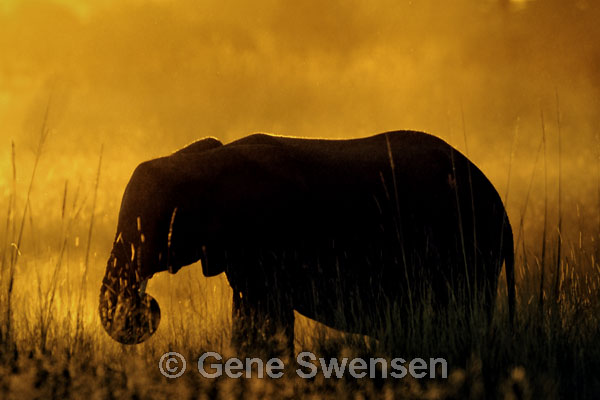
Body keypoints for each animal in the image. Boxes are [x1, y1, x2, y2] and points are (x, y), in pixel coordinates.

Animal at [98, 131, 516, 350]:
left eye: (149, 232)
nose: (146, 304)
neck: (201, 160)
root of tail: (502, 208)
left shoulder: (264, 240)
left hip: (468, 247)